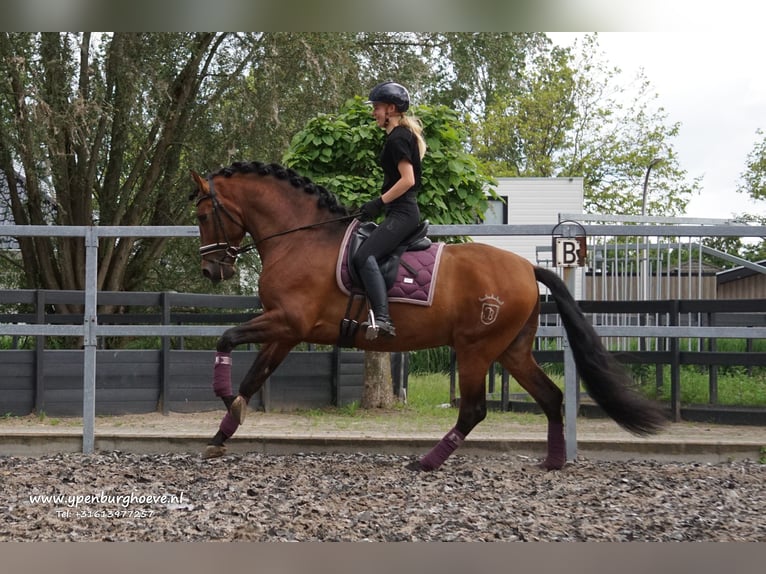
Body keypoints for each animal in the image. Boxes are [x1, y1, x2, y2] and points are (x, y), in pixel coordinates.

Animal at [190, 159, 664, 472]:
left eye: (202, 214)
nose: (212, 270)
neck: (302, 239)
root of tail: (527, 268)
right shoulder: (284, 331)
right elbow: (254, 377)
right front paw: (222, 433)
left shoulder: (288, 322)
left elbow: (226, 338)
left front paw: (223, 399)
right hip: (512, 350)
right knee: (550, 397)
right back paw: (552, 462)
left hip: (476, 350)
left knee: (473, 411)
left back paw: (428, 462)